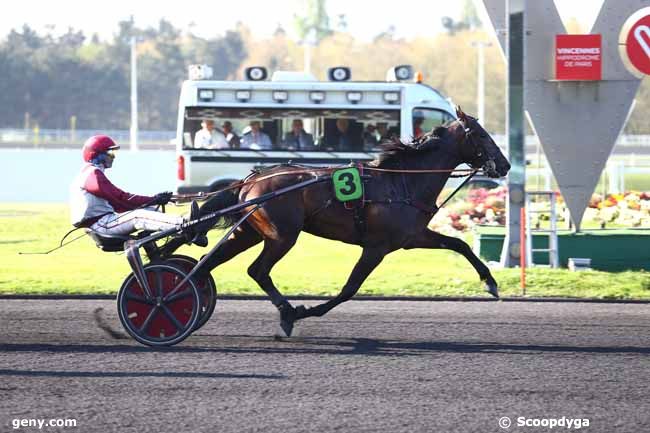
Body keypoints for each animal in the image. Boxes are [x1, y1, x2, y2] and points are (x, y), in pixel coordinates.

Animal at [162, 107, 506, 334]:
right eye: (480, 134)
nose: (505, 164)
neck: (402, 182)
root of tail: (252, 178)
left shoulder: (411, 237)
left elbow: (459, 244)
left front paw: (490, 282)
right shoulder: (377, 247)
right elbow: (350, 288)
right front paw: (309, 311)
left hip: (249, 232)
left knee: (208, 261)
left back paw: (178, 294)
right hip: (282, 236)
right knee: (257, 270)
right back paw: (286, 314)